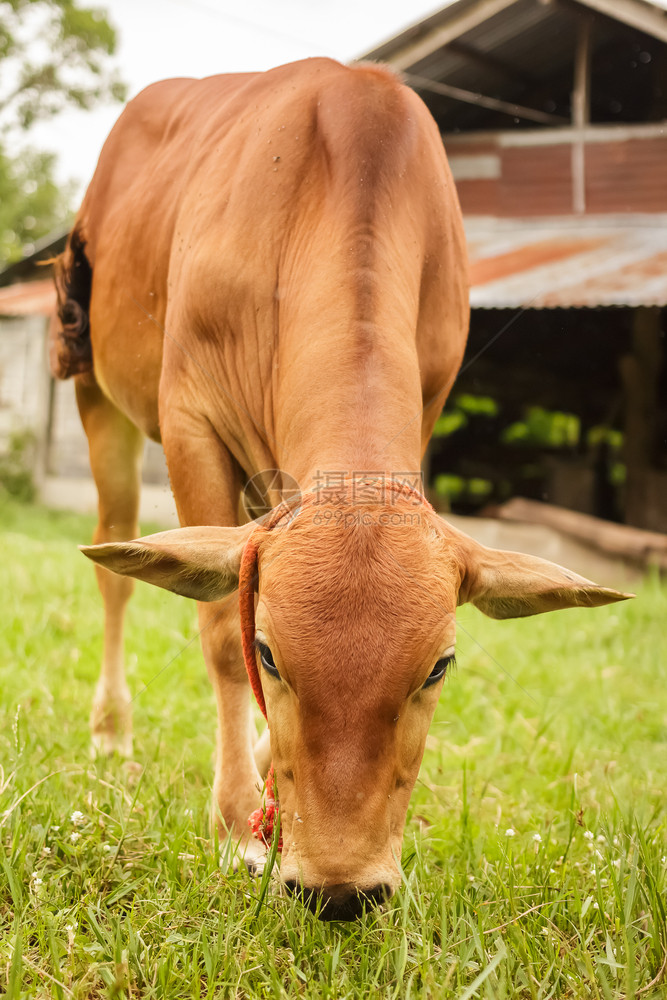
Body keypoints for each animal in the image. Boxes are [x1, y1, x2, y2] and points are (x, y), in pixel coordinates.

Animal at [53, 60, 632, 920]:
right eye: (270, 652)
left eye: (438, 667)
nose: (339, 889)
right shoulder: (190, 420)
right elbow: (218, 633)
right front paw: (237, 822)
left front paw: (266, 782)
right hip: (98, 395)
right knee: (112, 572)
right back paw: (111, 730)